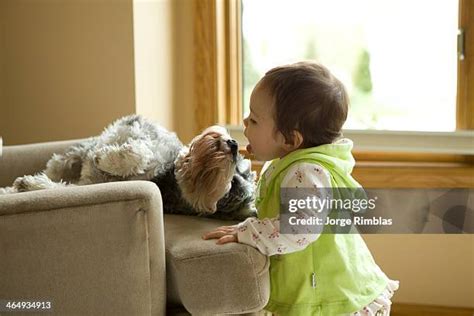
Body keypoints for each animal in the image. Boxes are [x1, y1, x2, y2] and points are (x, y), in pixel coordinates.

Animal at [0, 115, 258, 221]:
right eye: (238, 172)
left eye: (232, 186)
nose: (235, 145)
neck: (170, 178)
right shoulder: (153, 140)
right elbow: (143, 150)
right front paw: (106, 157)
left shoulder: (87, 185)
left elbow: (59, 189)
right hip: (67, 158)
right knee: (57, 166)